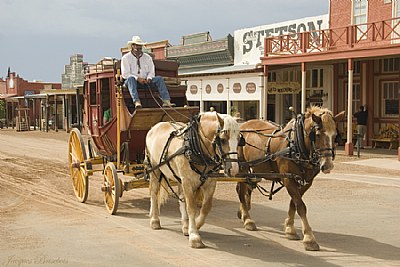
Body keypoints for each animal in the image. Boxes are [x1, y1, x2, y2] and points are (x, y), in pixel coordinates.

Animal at [147, 111, 241, 249]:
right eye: (223, 140)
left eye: (239, 140)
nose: (233, 169)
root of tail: (155, 126)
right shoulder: (187, 181)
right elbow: (191, 207)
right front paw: (195, 236)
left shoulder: (210, 183)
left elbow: (205, 207)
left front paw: (195, 225)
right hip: (155, 169)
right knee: (154, 193)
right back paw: (154, 220)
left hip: (179, 177)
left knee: (181, 198)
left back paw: (185, 225)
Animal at [236, 106, 346, 251]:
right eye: (317, 135)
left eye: (334, 135)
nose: (327, 165)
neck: (297, 146)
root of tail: (243, 124)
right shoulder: (289, 179)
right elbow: (301, 206)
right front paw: (309, 238)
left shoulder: (306, 182)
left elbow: (294, 204)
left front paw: (289, 229)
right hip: (242, 166)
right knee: (241, 190)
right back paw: (248, 219)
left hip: (253, 169)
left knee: (247, 188)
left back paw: (243, 213)